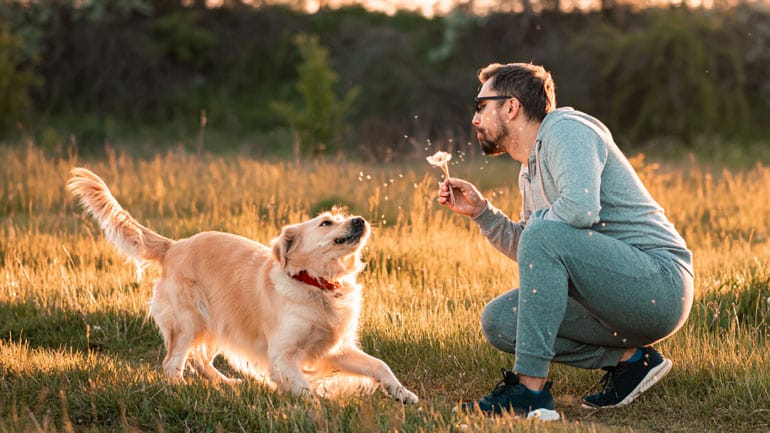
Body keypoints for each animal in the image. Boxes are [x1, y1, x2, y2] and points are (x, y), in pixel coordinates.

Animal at [67, 166, 416, 402]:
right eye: (326, 222)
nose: (360, 220)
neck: (317, 284)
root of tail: (175, 245)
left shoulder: (335, 348)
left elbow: (379, 365)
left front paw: (402, 393)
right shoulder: (283, 355)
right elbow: (303, 387)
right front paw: (319, 405)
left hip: (218, 323)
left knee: (201, 360)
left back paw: (227, 384)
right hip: (190, 321)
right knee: (172, 363)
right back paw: (181, 389)